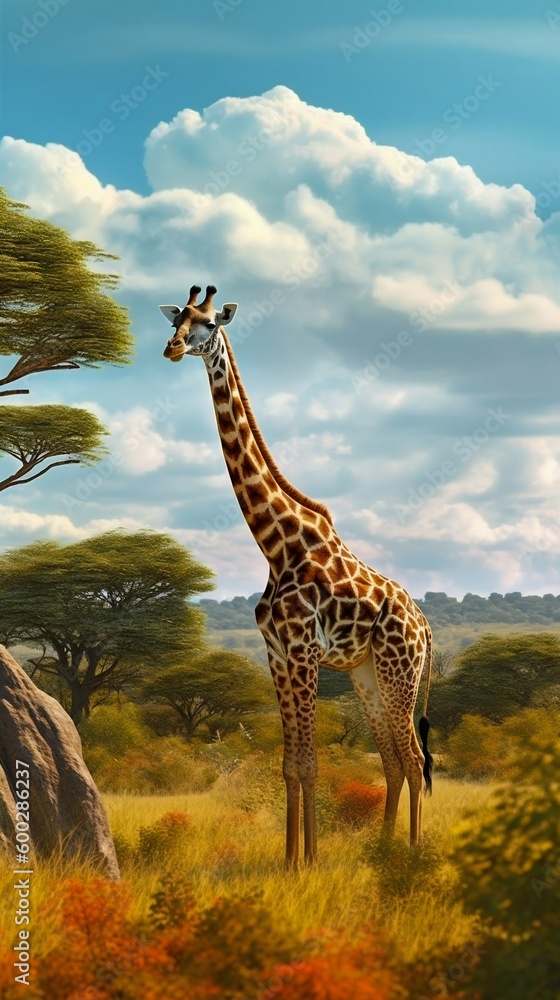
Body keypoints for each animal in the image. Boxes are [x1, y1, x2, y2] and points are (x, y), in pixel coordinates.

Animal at [160, 284, 433, 867]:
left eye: (209, 323)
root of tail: (426, 628)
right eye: (177, 319)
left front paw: (309, 861)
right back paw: (381, 851)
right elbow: (290, 765)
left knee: (415, 756)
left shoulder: (304, 650)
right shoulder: (277, 654)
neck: (275, 543)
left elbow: (310, 763)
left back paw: (412, 855)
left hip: (399, 669)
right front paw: (289, 861)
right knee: (393, 758)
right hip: (366, 674)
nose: (171, 348)